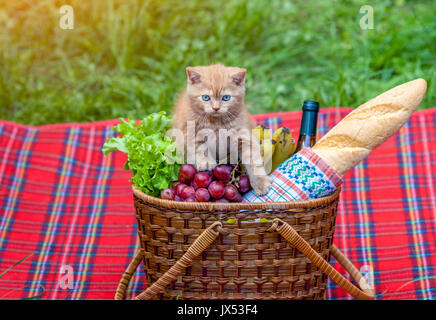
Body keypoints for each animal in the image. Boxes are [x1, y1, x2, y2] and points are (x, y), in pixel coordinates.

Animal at [172, 63, 270, 195]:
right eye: (206, 98)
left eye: (226, 98)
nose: (216, 108)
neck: (216, 123)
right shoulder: (188, 129)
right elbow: (199, 144)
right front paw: (207, 162)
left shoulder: (243, 135)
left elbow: (253, 158)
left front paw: (260, 181)